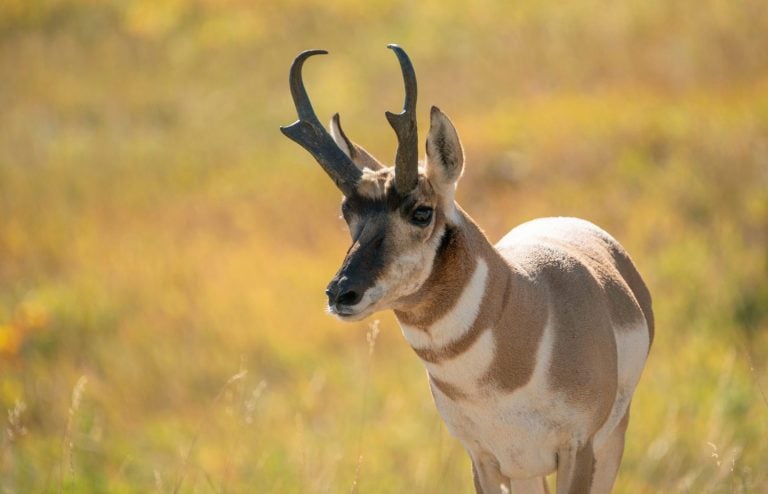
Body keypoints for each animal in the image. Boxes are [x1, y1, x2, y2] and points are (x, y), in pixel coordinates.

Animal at [280, 45, 653, 494]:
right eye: (346, 211)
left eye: (422, 211)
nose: (341, 293)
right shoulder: (483, 459)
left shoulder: (578, 450)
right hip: (526, 470)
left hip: (610, 442)